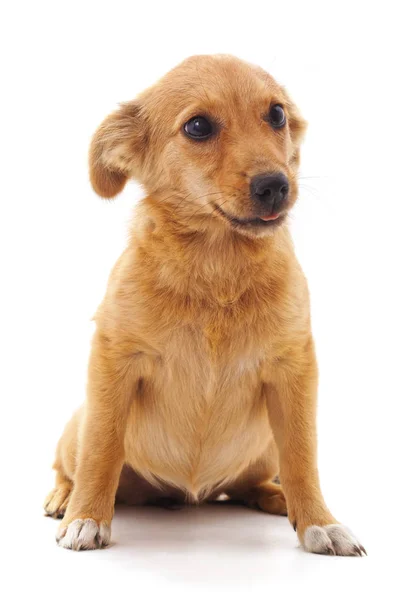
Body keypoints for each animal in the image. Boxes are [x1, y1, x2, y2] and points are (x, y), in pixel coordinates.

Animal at [43, 54, 364, 556]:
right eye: (197, 126)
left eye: (277, 115)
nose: (276, 185)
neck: (218, 265)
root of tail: (187, 495)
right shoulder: (113, 361)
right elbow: (103, 447)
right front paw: (87, 518)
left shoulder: (294, 369)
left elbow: (301, 455)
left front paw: (318, 522)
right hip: (75, 428)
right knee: (69, 464)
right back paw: (64, 498)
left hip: (261, 448)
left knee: (251, 483)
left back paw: (275, 498)